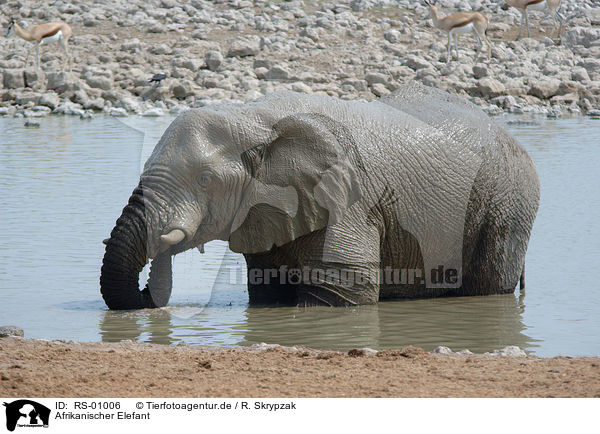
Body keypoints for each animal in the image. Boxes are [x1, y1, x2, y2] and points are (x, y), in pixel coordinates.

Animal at [101, 84, 540, 308]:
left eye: (206, 179)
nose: (147, 294)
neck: (252, 116)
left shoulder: (349, 199)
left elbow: (339, 291)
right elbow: (267, 289)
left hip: (507, 203)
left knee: (489, 284)